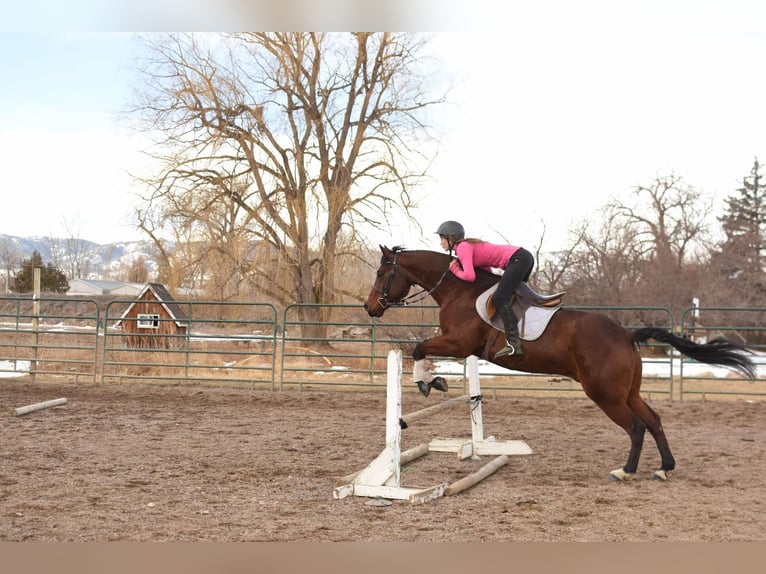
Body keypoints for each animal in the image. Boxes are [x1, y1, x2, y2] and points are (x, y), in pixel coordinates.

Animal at [364, 245, 757, 481]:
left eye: (382, 274)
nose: (370, 307)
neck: (459, 288)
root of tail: (626, 333)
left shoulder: (459, 343)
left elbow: (417, 349)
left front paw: (427, 382)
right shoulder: (461, 346)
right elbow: (422, 349)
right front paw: (433, 381)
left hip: (605, 394)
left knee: (635, 427)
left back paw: (626, 471)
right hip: (626, 392)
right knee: (654, 420)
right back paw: (664, 468)